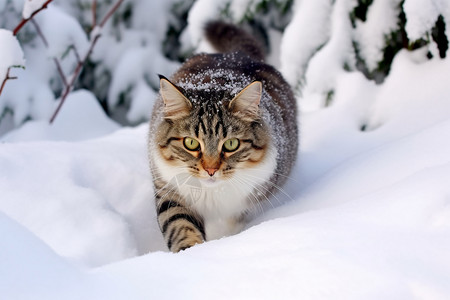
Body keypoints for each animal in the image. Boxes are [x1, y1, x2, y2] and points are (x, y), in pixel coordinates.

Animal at [148, 19, 298, 252]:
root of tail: (236, 54)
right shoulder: (170, 190)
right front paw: (190, 252)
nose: (211, 170)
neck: (212, 195)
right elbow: (180, 225)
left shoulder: (243, 206)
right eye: (191, 143)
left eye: (231, 144)